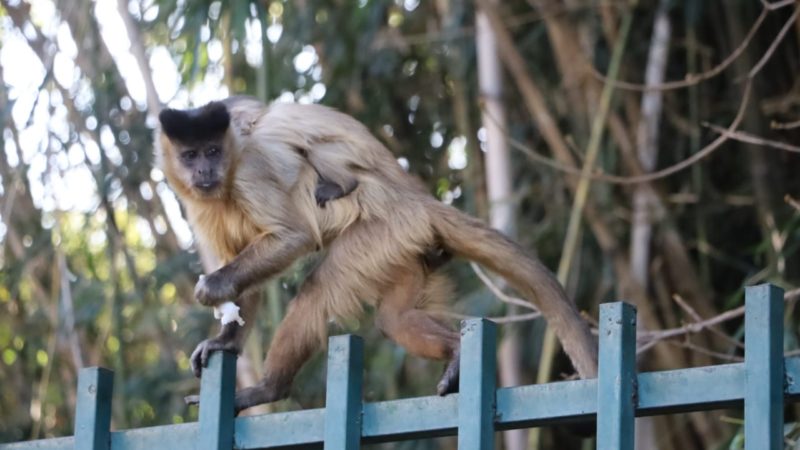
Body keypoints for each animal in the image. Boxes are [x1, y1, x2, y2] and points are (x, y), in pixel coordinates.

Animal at [155, 96, 592, 414]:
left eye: (213, 151)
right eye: (191, 156)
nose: (204, 170)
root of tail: (415, 202)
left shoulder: (248, 170)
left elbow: (292, 237)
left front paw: (215, 287)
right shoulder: (197, 203)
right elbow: (245, 282)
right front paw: (224, 342)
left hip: (383, 233)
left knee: (319, 289)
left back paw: (268, 389)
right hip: (405, 248)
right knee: (394, 319)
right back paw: (455, 351)